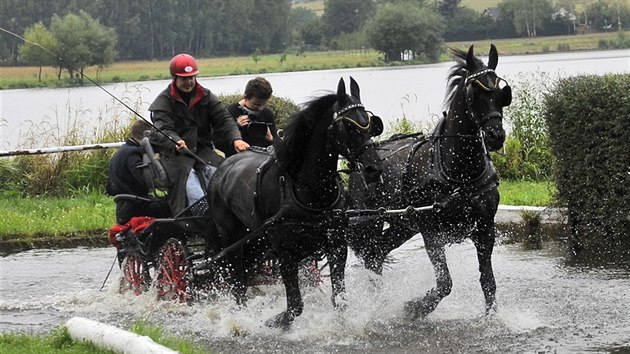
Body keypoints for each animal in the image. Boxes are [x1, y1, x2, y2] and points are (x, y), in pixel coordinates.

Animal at [210, 77, 382, 330]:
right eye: (348, 126)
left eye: (370, 125)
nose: (373, 169)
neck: (309, 191)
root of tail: (223, 167)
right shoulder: (285, 254)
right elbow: (295, 306)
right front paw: (274, 322)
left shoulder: (337, 246)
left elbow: (339, 298)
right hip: (231, 239)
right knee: (237, 281)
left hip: (256, 241)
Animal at [348, 45, 516, 320]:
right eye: (475, 93)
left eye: (501, 93)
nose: (495, 136)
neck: (460, 173)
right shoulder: (432, 234)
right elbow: (445, 283)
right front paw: (416, 307)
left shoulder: (485, 229)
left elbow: (488, 282)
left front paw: (492, 319)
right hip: (367, 223)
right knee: (370, 257)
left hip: (403, 226)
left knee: (377, 255)